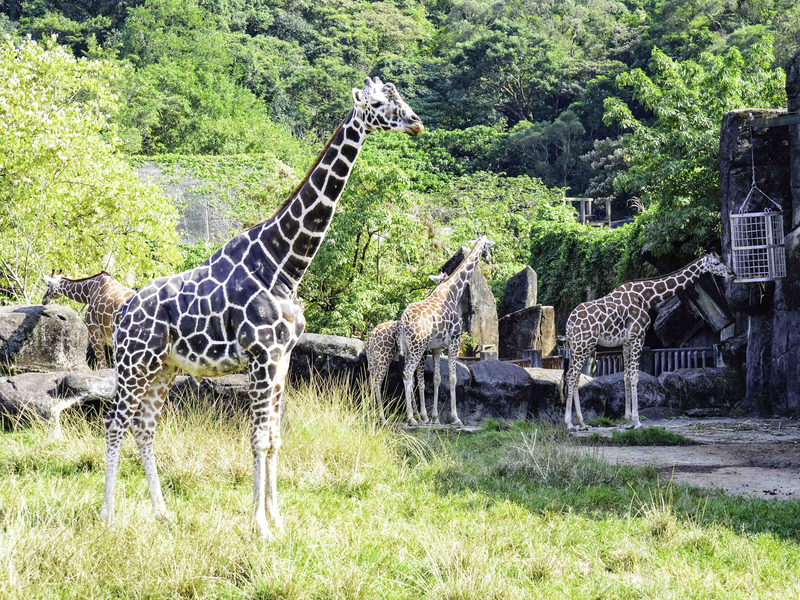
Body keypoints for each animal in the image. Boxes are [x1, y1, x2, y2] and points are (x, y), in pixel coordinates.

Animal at [101, 76, 424, 540]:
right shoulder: (262, 354)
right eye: (379, 103)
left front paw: (278, 519)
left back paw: (163, 513)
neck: (284, 264)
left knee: (145, 429)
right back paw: (108, 516)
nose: (415, 122)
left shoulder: (283, 358)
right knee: (115, 424)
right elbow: (257, 438)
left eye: (399, 98)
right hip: (133, 363)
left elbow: (274, 437)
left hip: (162, 368)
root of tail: (124, 311)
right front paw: (259, 525)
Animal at [368, 270, 446, 422]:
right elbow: (419, 382)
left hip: (372, 360)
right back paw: (382, 417)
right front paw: (422, 417)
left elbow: (413, 381)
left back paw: (370, 413)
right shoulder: (422, 354)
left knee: (370, 381)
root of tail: (372, 335)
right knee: (377, 382)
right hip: (383, 358)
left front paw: (417, 415)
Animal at [396, 236, 490, 426]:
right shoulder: (455, 339)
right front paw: (455, 418)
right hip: (417, 348)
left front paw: (435, 418)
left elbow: (437, 378)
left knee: (409, 375)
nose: (488, 258)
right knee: (408, 373)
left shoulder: (437, 347)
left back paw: (416, 417)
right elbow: (453, 378)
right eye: (487, 246)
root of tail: (403, 322)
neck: (453, 292)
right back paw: (412, 418)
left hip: (409, 349)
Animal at [560, 252, 736, 432]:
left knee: (574, 377)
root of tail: (569, 325)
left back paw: (582, 424)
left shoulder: (627, 341)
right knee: (572, 376)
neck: (647, 296)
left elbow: (626, 377)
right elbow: (634, 377)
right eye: (716, 263)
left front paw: (628, 422)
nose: (732, 274)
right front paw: (637, 422)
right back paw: (569, 424)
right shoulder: (638, 336)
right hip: (584, 345)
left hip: (577, 346)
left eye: (722, 260)